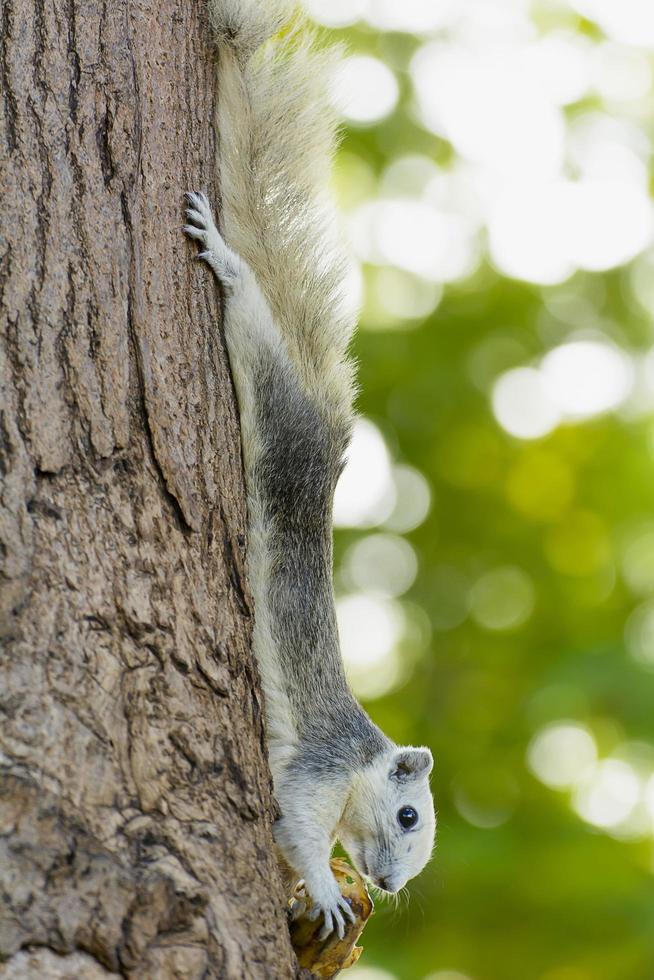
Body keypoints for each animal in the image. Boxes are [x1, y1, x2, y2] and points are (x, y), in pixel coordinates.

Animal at [184, 0, 438, 940]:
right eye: (408, 814)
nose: (390, 886)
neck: (363, 765)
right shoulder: (320, 767)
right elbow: (292, 824)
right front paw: (326, 892)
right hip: (268, 378)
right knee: (252, 315)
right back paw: (225, 256)